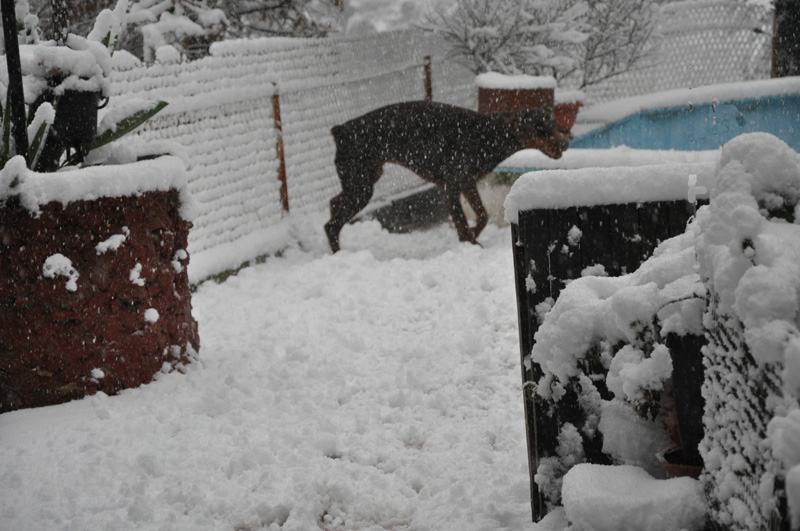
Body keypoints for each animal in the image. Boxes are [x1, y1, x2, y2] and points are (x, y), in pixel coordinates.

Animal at [324, 104, 568, 256]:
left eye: (554, 124)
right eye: (540, 127)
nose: (565, 144)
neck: (489, 134)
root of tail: (340, 130)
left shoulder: (466, 183)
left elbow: (482, 215)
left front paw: (472, 236)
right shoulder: (451, 185)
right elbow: (461, 220)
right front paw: (470, 242)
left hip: (362, 183)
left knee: (333, 203)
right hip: (361, 188)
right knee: (330, 225)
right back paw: (338, 255)